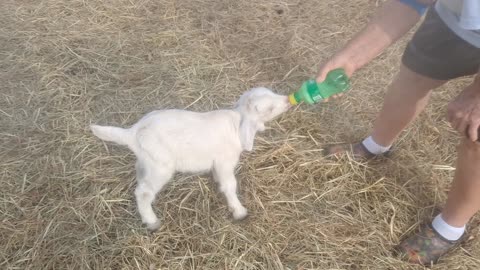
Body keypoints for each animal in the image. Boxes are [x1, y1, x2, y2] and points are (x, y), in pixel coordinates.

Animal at [91, 87, 290, 231]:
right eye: (269, 109)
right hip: (160, 166)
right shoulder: (224, 161)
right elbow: (229, 185)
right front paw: (239, 211)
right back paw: (152, 221)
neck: (236, 126)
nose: (288, 100)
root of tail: (133, 132)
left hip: (147, 161)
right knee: (144, 192)